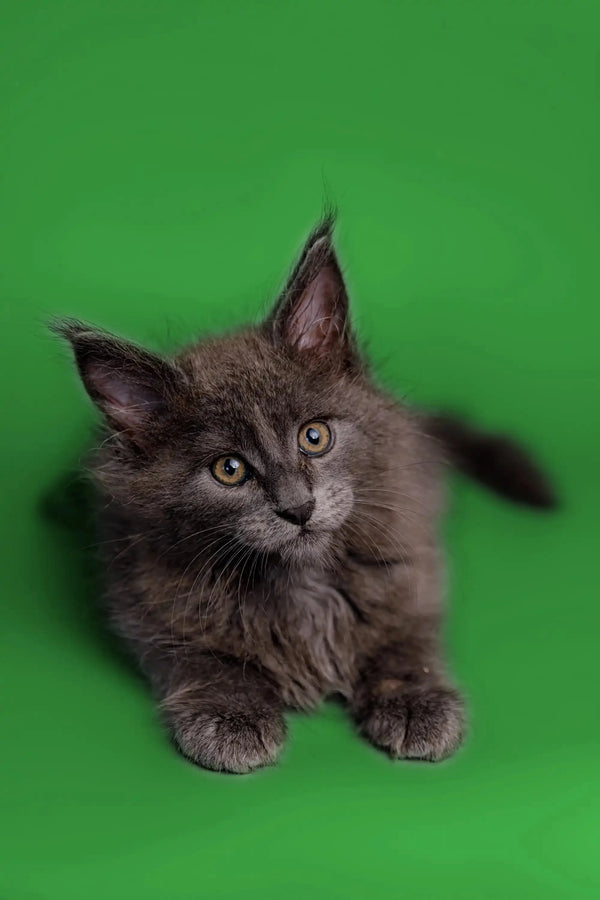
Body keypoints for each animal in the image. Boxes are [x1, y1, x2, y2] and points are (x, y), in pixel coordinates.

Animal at [54, 220, 556, 772]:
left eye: (314, 437)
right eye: (229, 470)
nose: (298, 508)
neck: (300, 579)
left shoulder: (413, 561)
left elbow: (405, 636)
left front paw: (415, 701)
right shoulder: (143, 596)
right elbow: (201, 657)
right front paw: (231, 716)